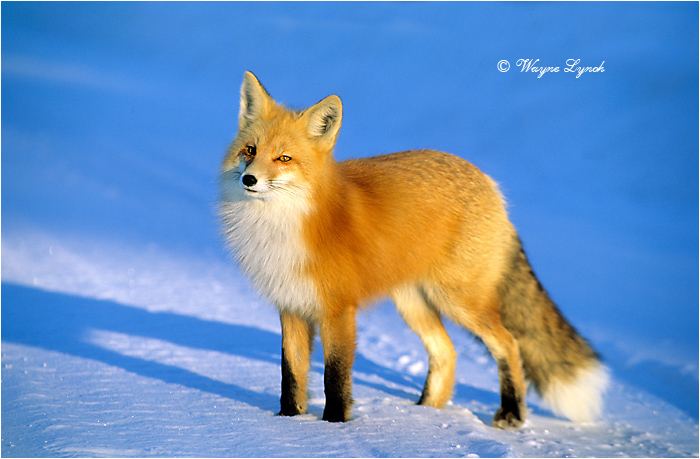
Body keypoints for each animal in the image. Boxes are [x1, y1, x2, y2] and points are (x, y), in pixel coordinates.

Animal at [218, 71, 609, 429]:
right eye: (250, 150)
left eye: (284, 158)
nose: (249, 179)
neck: (284, 225)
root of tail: (490, 184)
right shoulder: (291, 305)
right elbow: (291, 375)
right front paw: (287, 422)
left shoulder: (338, 310)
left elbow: (336, 377)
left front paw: (334, 427)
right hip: (414, 304)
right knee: (447, 352)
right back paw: (424, 415)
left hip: (459, 301)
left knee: (509, 344)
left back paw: (510, 414)